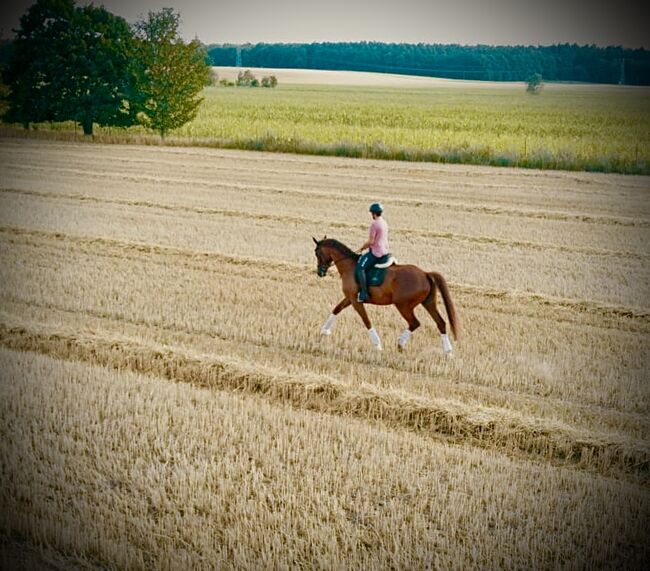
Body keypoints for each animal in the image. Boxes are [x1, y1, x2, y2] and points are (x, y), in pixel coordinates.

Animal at [312, 237, 456, 354]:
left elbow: (366, 320)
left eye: (317, 253)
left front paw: (377, 344)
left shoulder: (356, 301)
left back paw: (400, 343)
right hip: (428, 303)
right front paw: (324, 330)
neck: (349, 266)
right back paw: (448, 352)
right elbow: (337, 309)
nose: (320, 272)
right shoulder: (350, 298)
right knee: (441, 323)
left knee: (415, 323)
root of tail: (425, 274)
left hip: (403, 306)